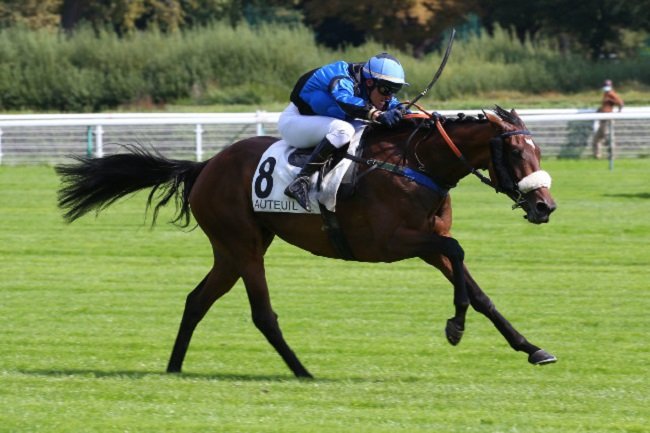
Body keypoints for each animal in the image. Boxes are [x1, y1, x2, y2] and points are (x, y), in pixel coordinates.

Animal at [55, 106, 556, 376]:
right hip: (243, 245)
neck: (417, 163)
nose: (545, 206)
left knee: (197, 299)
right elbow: (459, 253)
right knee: (262, 314)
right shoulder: (391, 243)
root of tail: (204, 166)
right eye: (515, 151)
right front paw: (454, 327)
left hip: (233, 249)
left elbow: (477, 288)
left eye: (538, 149)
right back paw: (302, 370)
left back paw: (175, 367)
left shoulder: (428, 239)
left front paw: (531, 347)